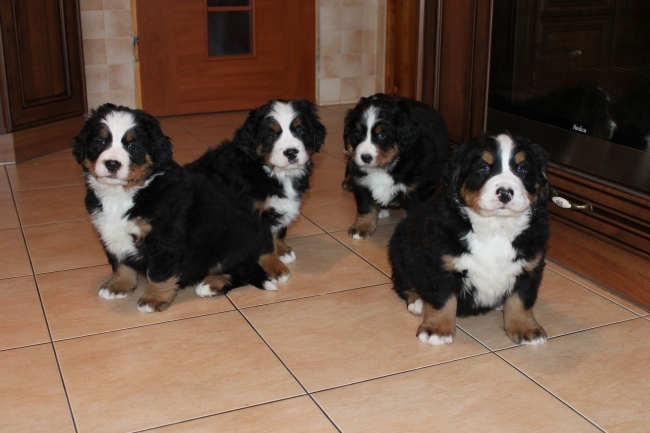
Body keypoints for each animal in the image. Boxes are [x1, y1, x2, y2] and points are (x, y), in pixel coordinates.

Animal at [73, 103, 274, 312]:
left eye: (132, 146)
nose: (112, 164)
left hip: (230, 244)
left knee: (242, 271)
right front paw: (118, 286)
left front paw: (153, 299)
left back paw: (211, 284)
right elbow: (120, 263)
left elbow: (158, 274)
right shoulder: (110, 233)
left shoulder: (164, 239)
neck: (126, 193)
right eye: (100, 142)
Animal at [185, 99, 327, 283]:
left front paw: (283, 250)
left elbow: (278, 231)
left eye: (299, 130)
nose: (291, 152)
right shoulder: (253, 215)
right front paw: (275, 267)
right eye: (272, 135)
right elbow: (265, 243)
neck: (269, 171)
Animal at [342, 93, 449, 239]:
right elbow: (365, 207)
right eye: (357, 133)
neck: (382, 168)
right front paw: (361, 228)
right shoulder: (361, 182)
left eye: (382, 135)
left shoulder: (418, 191)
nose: (365, 157)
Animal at [388, 131, 550, 345]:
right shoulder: (440, 264)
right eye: (483, 168)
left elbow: (522, 301)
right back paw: (418, 302)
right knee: (404, 282)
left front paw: (526, 328)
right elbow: (443, 299)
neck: (496, 227)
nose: (505, 193)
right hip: (401, 251)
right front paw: (437, 330)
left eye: (522, 169)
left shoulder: (530, 266)